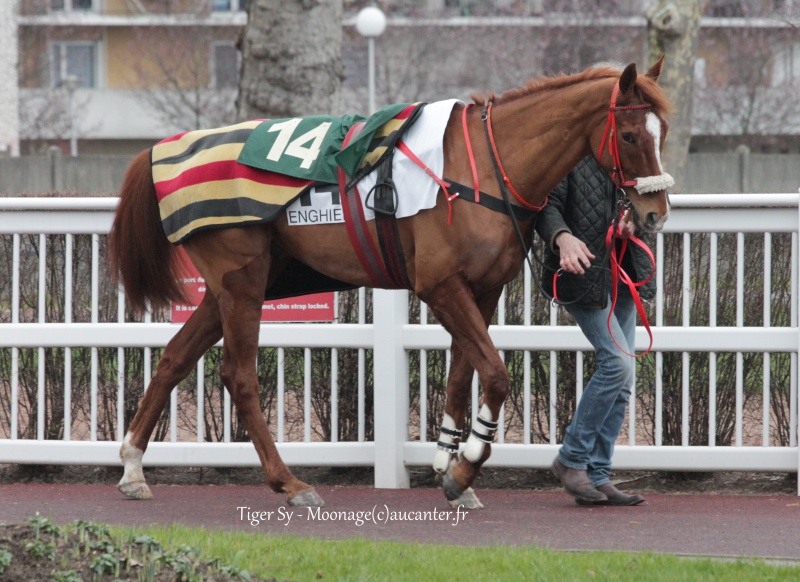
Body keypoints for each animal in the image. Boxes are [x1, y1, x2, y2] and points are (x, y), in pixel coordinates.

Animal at [106, 58, 668, 506]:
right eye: (630, 135)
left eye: (661, 130)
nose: (654, 214)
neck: (484, 168)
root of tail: (163, 152)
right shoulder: (439, 285)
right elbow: (494, 373)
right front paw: (466, 464)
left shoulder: (481, 289)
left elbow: (462, 375)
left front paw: (449, 466)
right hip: (241, 279)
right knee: (238, 377)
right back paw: (290, 483)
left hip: (233, 285)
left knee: (174, 358)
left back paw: (133, 467)